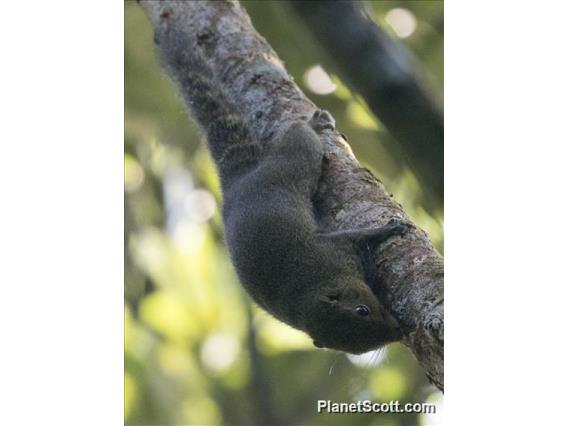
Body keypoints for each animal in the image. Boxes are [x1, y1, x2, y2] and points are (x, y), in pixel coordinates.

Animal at [158, 30, 410, 354]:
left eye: (362, 310)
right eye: (357, 347)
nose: (398, 331)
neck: (310, 288)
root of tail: (238, 180)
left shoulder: (332, 247)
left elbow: (360, 235)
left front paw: (389, 229)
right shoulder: (335, 253)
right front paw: (388, 229)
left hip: (294, 162)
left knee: (299, 137)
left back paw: (314, 122)